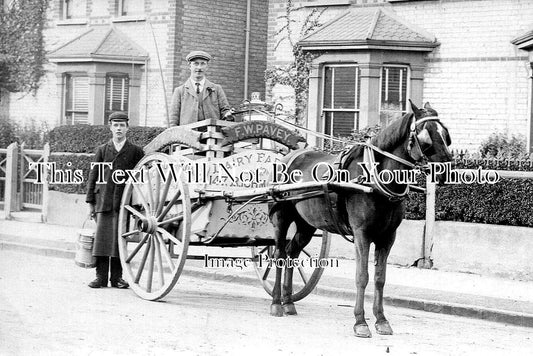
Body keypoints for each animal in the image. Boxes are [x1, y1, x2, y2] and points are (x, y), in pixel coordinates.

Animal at [270, 99, 448, 336]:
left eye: (445, 134)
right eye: (425, 136)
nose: (447, 169)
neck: (373, 178)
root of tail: (289, 156)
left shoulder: (387, 237)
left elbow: (380, 278)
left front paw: (381, 319)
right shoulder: (362, 234)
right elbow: (362, 276)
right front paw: (360, 321)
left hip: (306, 224)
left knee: (292, 253)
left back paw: (289, 302)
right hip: (282, 217)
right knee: (280, 254)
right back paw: (276, 303)